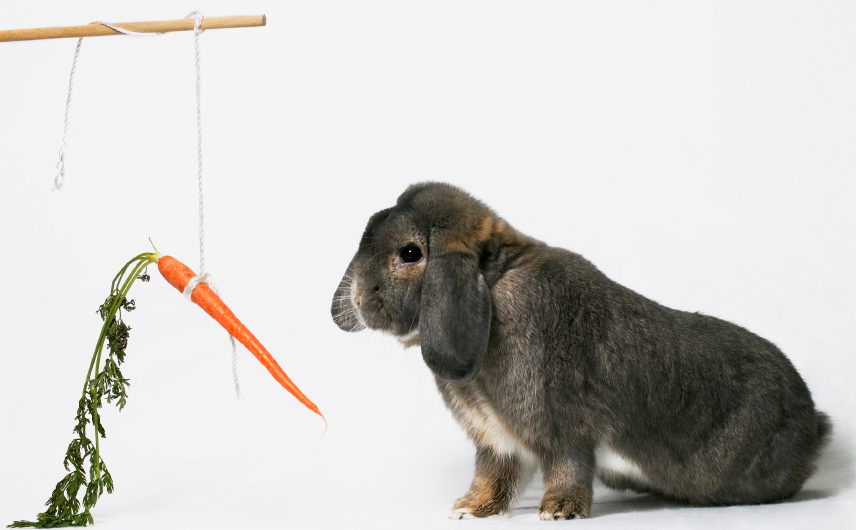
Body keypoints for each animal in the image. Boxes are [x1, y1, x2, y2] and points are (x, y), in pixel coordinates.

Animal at [331, 182, 831, 520]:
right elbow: (493, 478)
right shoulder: (497, 443)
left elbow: (567, 468)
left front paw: (558, 512)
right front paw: (470, 509)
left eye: (411, 253)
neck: (493, 284)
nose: (354, 298)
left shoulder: (563, 430)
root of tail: (815, 423)